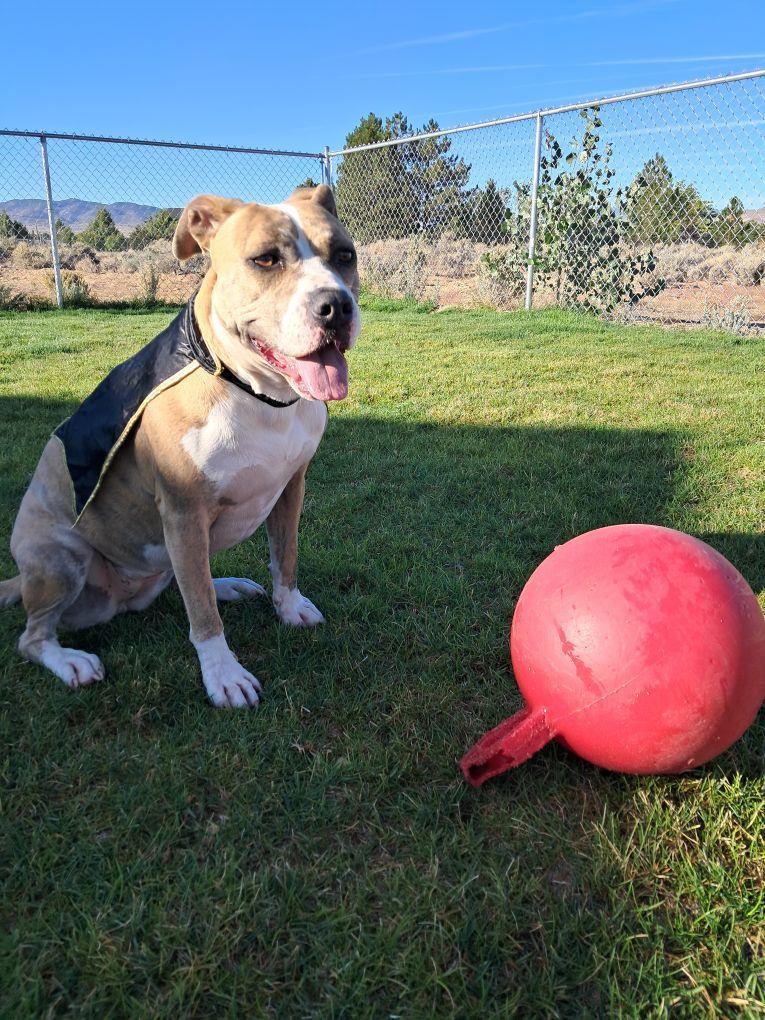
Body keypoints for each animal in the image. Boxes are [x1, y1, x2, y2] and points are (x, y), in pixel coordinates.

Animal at [0, 183, 363, 705]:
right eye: (266, 260)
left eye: (344, 256)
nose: (336, 306)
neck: (253, 391)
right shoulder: (182, 510)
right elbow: (203, 614)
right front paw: (223, 673)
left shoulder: (291, 487)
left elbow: (284, 558)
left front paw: (289, 607)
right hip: (61, 558)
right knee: (33, 637)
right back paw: (69, 660)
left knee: (187, 582)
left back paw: (227, 584)